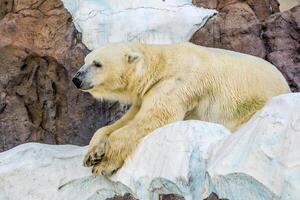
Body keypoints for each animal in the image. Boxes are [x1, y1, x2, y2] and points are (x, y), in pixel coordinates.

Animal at [72, 41, 290, 175]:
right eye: (85, 61)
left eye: (97, 63)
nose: (76, 79)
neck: (163, 64)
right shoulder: (146, 93)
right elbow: (127, 119)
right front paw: (92, 154)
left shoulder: (176, 84)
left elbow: (155, 118)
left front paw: (104, 164)